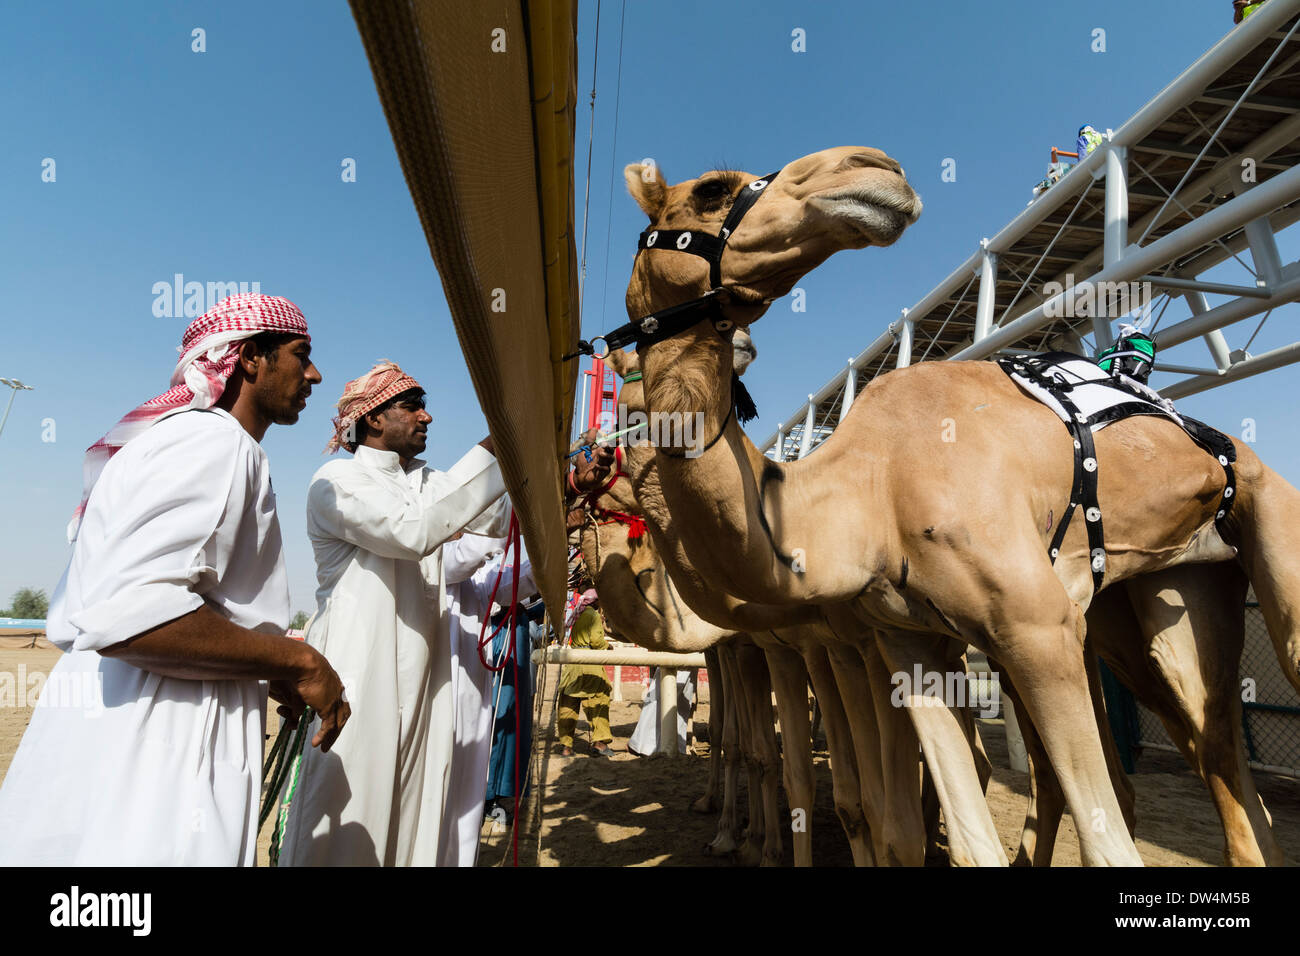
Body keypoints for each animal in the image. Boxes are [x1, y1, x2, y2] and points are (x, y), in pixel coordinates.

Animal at [600, 143, 1300, 868]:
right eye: (711, 190)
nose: (874, 168)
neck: (868, 495)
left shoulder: (1036, 627)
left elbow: (1097, 838)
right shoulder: (902, 641)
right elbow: (951, 837)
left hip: (1263, 512)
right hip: (1172, 585)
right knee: (1212, 738)